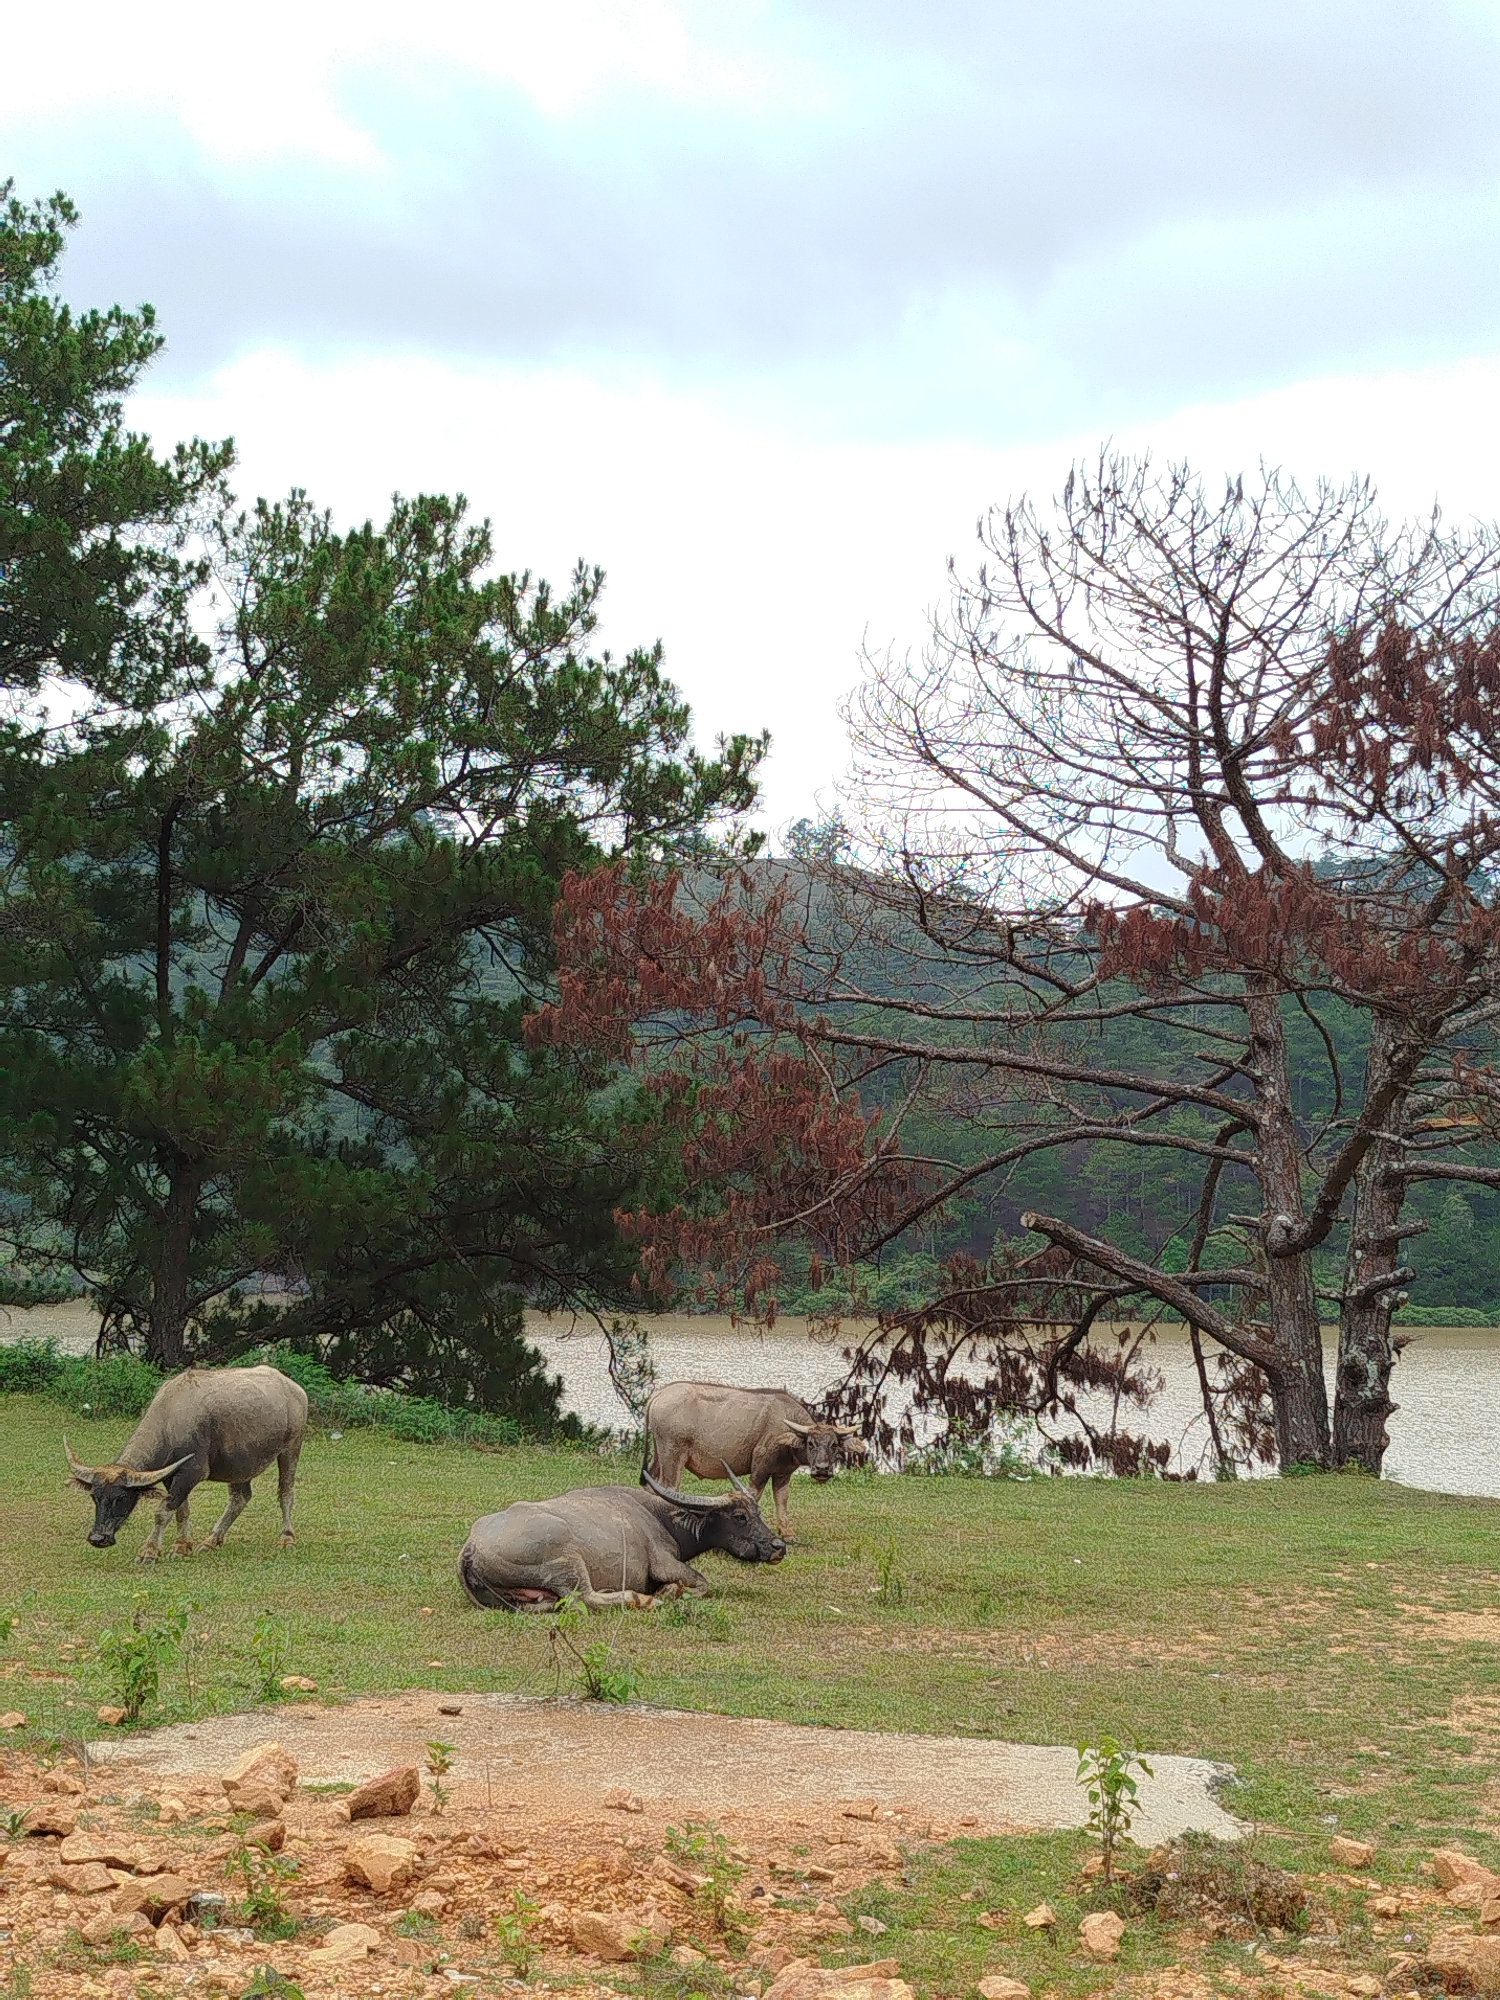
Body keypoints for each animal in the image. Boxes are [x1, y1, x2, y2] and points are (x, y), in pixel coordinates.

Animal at [65, 1364, 308, 1560]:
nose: (98, 1538)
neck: (171, 1420)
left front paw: (149, 1551)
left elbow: (162, 1512)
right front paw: (182, 1546)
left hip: (291, 1448)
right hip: (239, 1463)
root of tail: (294, 1389)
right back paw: (211, 1540)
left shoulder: (192, 1472)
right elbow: (181, 1509)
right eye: (95, 1497)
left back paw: (286, 1537)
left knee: (286, 1492)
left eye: (121, 1498)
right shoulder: (171, 1476)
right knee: (240, 1497)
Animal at [458, 1466, 787, 1611]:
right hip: (567, 1562)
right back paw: (642, 1599)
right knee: (583, 1598)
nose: (778, 1546)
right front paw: (669, 1592)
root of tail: (470, 1548)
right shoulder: (664, 1562)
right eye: (740, 1516)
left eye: (758, 1511)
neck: (659, 1515)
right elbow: (702, 1583)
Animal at [645, 1381, 867, 1537]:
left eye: (834, 1445)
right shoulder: (760, 1468)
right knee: (669, 1488)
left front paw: (788, 1532)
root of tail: (658, 1394)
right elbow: (753, 1495)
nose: (822, 1469)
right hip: (672, 1455)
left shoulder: (783, 1474)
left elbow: (782, 1499)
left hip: (659, 1456)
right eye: (810, 1443)